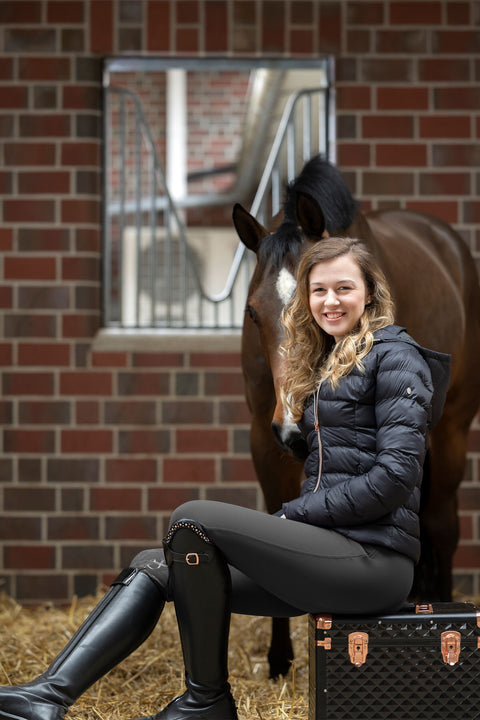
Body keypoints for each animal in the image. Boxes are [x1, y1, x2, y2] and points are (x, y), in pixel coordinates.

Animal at [232, 155, 480, 676]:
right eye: (252, 313)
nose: (294, 426)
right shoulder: (263, 437)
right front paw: (280, 660)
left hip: (451, 429)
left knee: (441, 524)